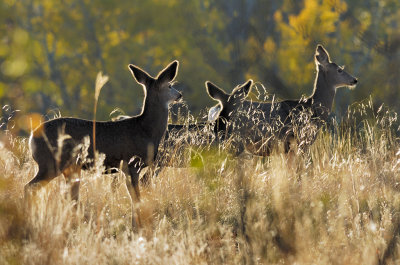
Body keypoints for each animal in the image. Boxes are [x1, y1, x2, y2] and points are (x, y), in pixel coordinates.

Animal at [25, 59, 181, 227]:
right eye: (170, 85)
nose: (180, 94)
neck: (146, 131)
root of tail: (32, 137)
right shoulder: (131, 163)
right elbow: (136, 197)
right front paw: (137, 225)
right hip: (51, 162)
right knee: (30, 187)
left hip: (70, 167)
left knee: (69, 196)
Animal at [208, 43, 358, 155]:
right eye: (340, 70)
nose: (354, 80)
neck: (312, 109)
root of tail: (220, 106)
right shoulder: (300, 141)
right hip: (235, 139)